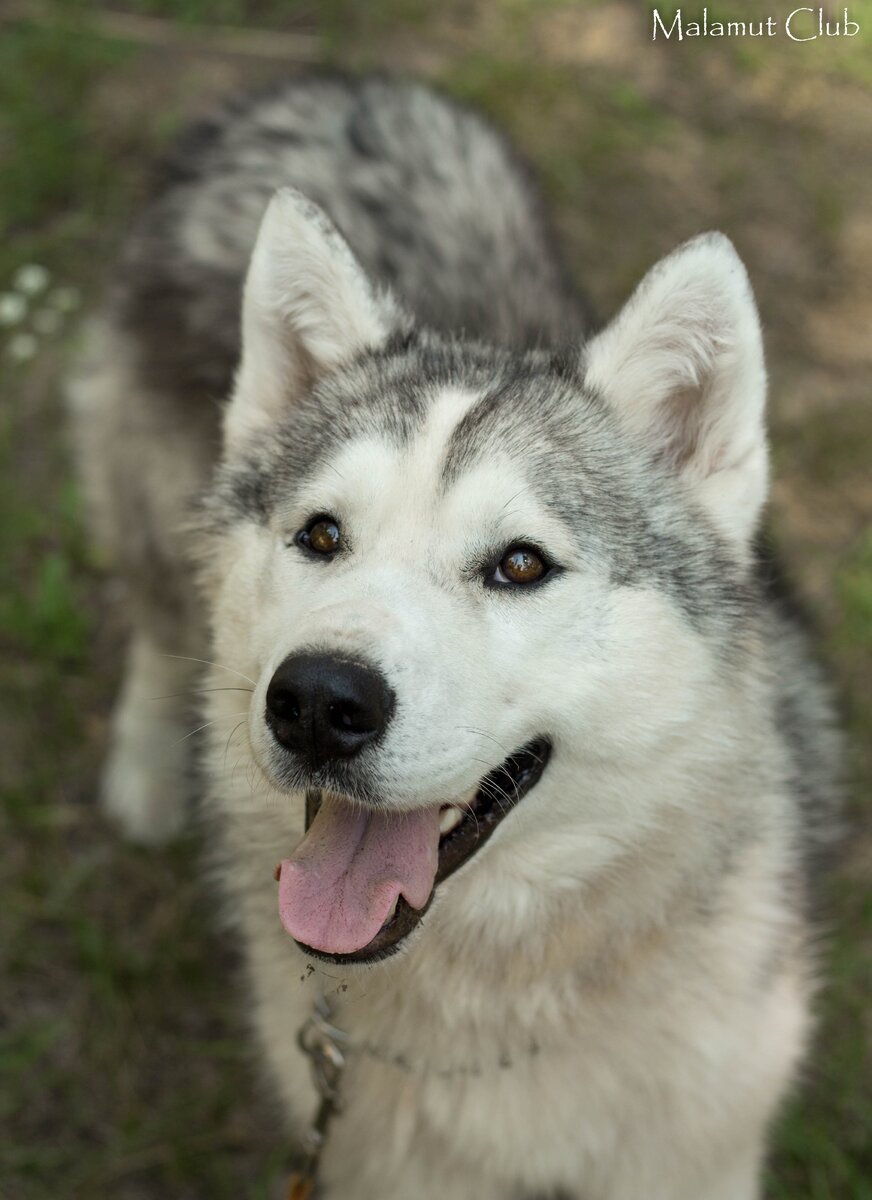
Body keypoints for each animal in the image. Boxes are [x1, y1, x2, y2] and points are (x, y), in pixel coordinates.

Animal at [71, 77, 844, 1200]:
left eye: (519, 565)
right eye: (321, 536)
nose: (318, 702)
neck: (500, 995)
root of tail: (326, 84)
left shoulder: (692, 1155)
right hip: (146, 500)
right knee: (155, 619)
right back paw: (143, 776)